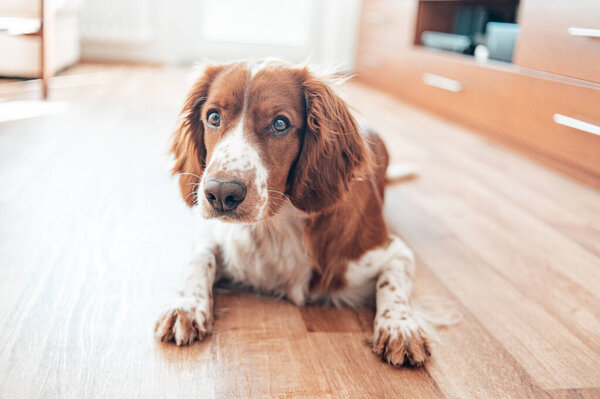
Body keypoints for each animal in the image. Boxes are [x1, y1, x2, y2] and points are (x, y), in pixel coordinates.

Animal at [156, 59, 432, 368]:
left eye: (280, 123)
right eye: (213, 117)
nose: (222, 194)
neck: (276, 226)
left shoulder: (392, 251)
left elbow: (392, 283)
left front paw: (400, 326)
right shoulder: (215, 233)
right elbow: (199, 259)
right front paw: (186, 305)